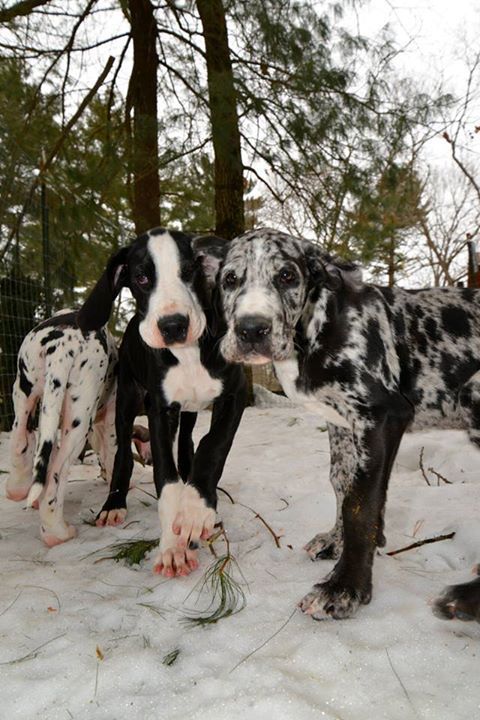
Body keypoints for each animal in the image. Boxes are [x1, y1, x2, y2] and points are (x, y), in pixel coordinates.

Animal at [7, 310, 117, 544]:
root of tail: (62, 345)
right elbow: (113, 452)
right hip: (78, 422)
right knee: (55, 479)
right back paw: (58, 533)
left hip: (23, 391)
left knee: (21, 441)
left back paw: (18, 488)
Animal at [78, 231, 248, 580]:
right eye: (142, 278)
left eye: (190, 270)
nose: (173, 325)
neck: (189, 352)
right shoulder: (158, 409)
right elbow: (165, 477)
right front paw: (173, 547)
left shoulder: (234, 395)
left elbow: (214, 445)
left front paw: (196, 507)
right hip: (127, 397)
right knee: (122, 455)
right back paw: (113, 504)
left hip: (189, 409)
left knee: (187, 441)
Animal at [218, 229, 480, 620]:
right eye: (230, 280)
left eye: (287, 276)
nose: (252, 330)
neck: (317, 327)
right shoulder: (343, 422)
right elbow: (343, 483)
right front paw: (338, 542)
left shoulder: (380, 415)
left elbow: (360, 501)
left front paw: (344, 588)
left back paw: (465, 599)